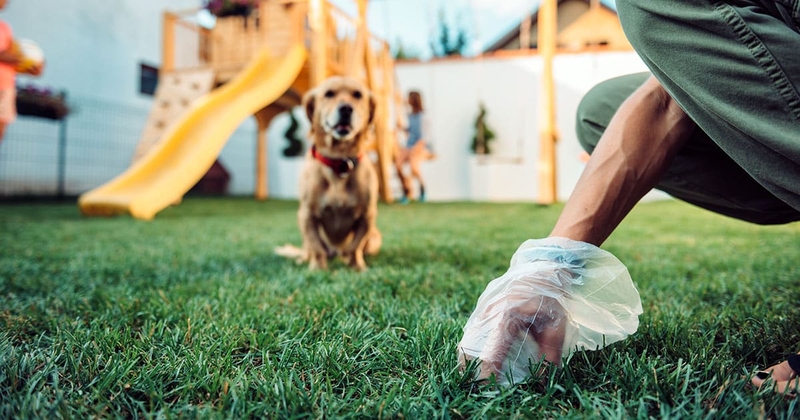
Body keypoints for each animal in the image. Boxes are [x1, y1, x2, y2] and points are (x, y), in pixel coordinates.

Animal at [276, 76, 382, 270]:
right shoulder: (307, 215)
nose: (346, 108)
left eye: (358, 95)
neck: (339, 161)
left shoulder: (367, 216)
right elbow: (317, 247)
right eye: (329, 94)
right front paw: (318, 268)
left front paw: (357, 267)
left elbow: (355, 246)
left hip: (375, 239)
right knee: (309, 249)